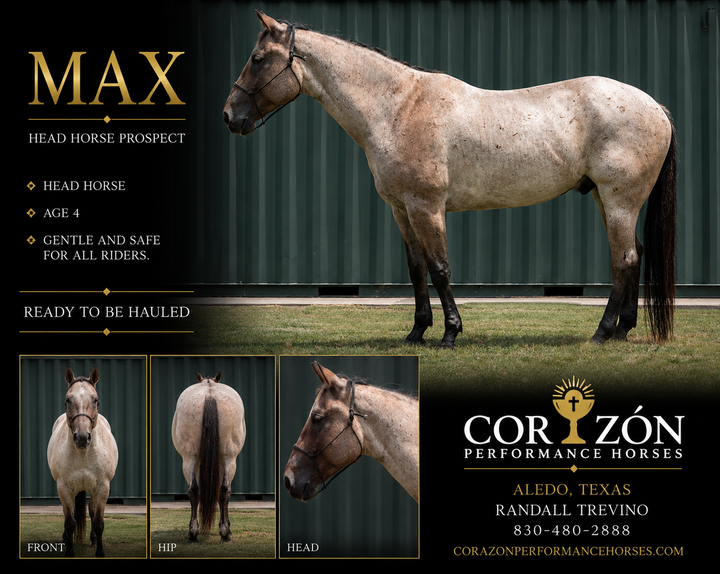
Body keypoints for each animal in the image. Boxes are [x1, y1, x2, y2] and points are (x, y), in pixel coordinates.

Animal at [47, 366, 119, 557]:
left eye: (96, 400)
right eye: (67, 400)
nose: (81, 437)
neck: (83, 455)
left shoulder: (102, 487)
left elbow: (98, 521)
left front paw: (99, 551)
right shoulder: (64, 488)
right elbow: (70, 521)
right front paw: (69, 551)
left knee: (92, 511)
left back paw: (93, 540)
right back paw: (66, 538)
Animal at [171, 371, 246, 542]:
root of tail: (210, 395)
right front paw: (226, 528)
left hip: (191, 457)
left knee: (195, 489)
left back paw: (194, 533)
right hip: (228, 458)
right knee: (224, 489)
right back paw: (224, 533)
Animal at [223, 11, 677, 349]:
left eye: (258, 58)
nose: (230, 116)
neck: (398, 107)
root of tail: (656, 106)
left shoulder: (427, 206)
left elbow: (440, 268)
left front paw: (449, 334)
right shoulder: (401, 209)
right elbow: (416, 269)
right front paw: (416, 332)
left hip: (619, 201)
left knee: (624, 260)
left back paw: (602, 333)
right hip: (607, 199)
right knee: (634, 254)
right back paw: (623, 329)